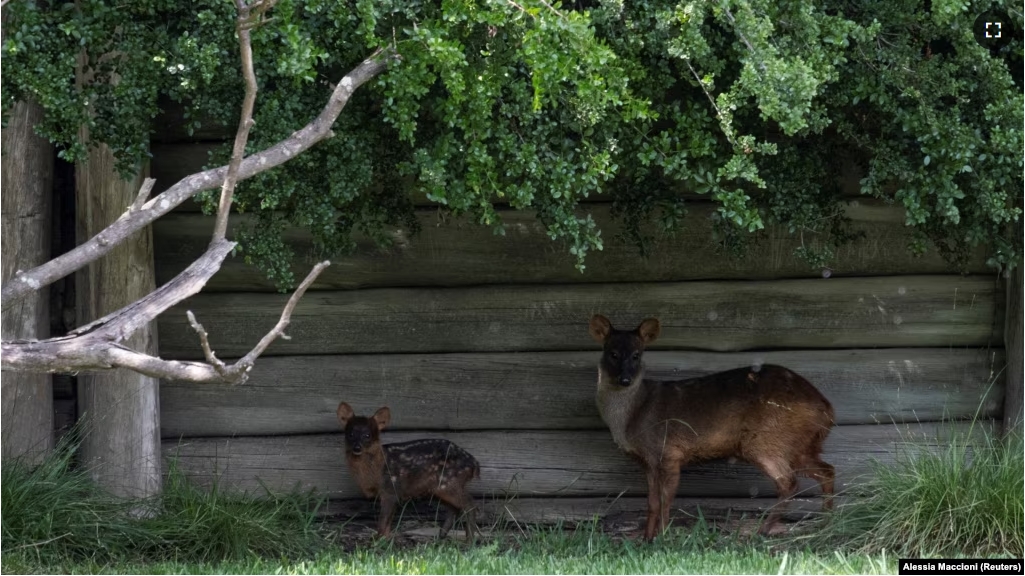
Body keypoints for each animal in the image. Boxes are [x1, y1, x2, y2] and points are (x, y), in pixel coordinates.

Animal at [336, 401, 479, 541]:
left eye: (367, 435)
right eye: (350, 434)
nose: (357, 447)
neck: (377, 469)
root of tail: (473, 464)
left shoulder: (390, 489)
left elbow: (383, 520)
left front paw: (378, 541)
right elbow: (388, 522)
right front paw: (386, 539)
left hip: (450, 481)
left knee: (469, 504)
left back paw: (469, 540)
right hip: (439, 487)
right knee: (454, 508)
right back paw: (441, 536)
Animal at [590, 313, 836, 537]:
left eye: (636, 355)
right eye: (612, 353)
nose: (625, 380)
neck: (632, 417)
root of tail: (827, 410)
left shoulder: (669, 451)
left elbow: (666, 501)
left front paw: (662, 538)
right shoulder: (648, 461)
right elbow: (652, 503)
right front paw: (646, 540)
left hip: (767, 439)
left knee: (789, 482)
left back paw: (763, 531)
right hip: (799, 444)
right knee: (827, 470)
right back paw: (826, 522)